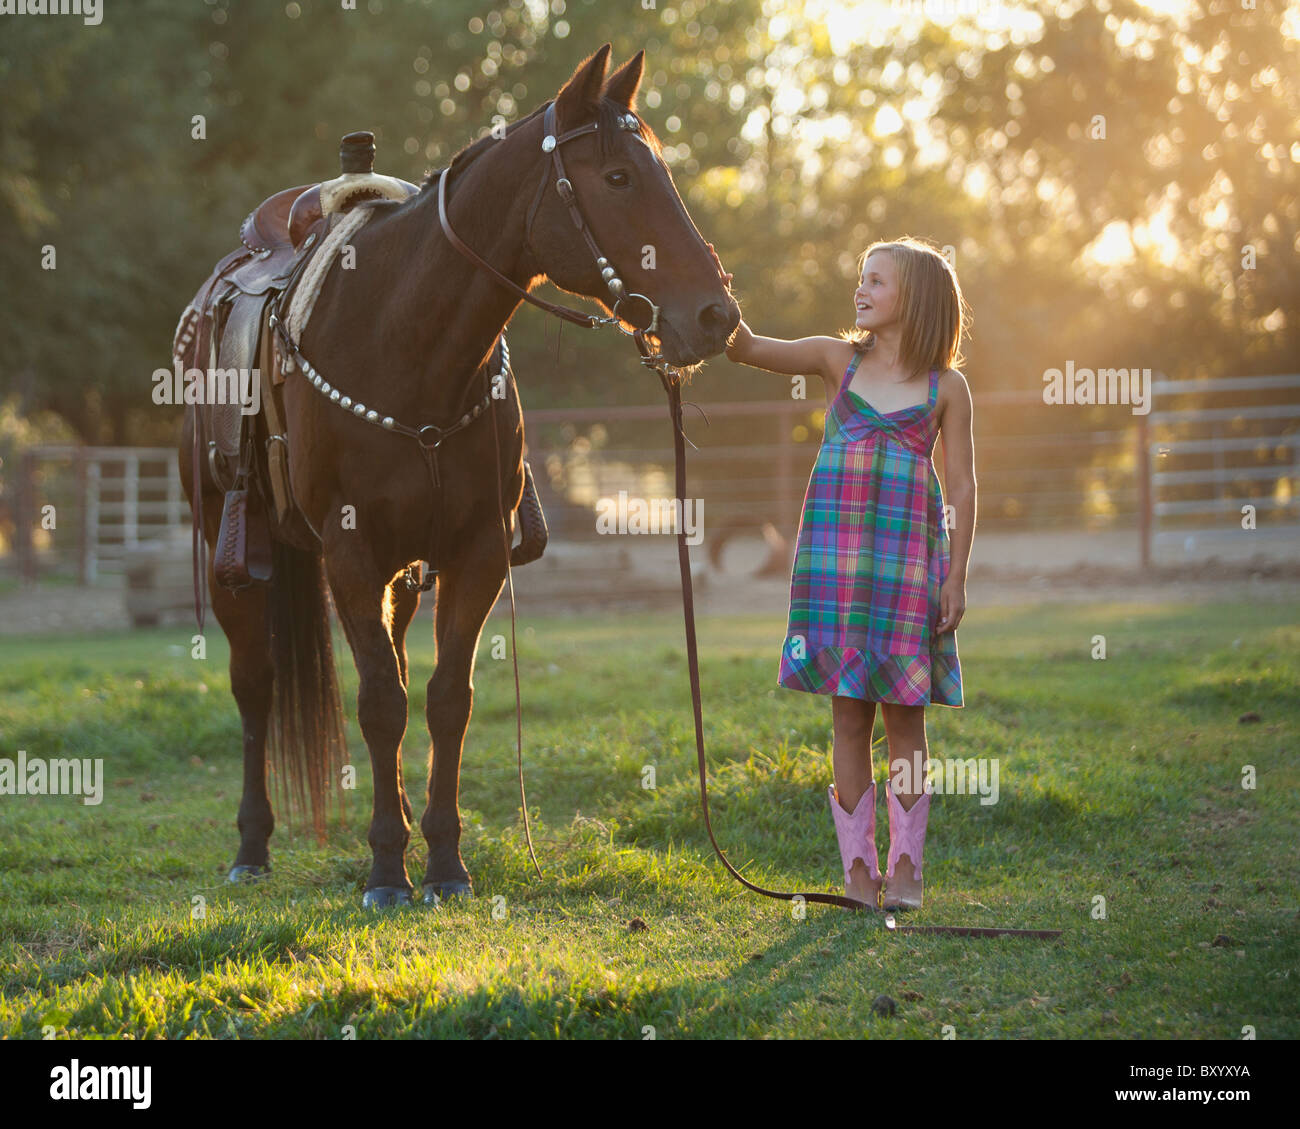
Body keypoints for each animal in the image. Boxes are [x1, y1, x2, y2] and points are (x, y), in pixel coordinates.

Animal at [180, 46, 743, 910]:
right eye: (617, 177)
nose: (716, 316)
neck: (404, 342)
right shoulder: (350, 555)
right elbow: (380, 703)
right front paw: (386, 870)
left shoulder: (474, 553)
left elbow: (446, 698)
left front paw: (442, 859)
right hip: (233, 546)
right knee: (256, 683)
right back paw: (252, 846)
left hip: (402, 575)